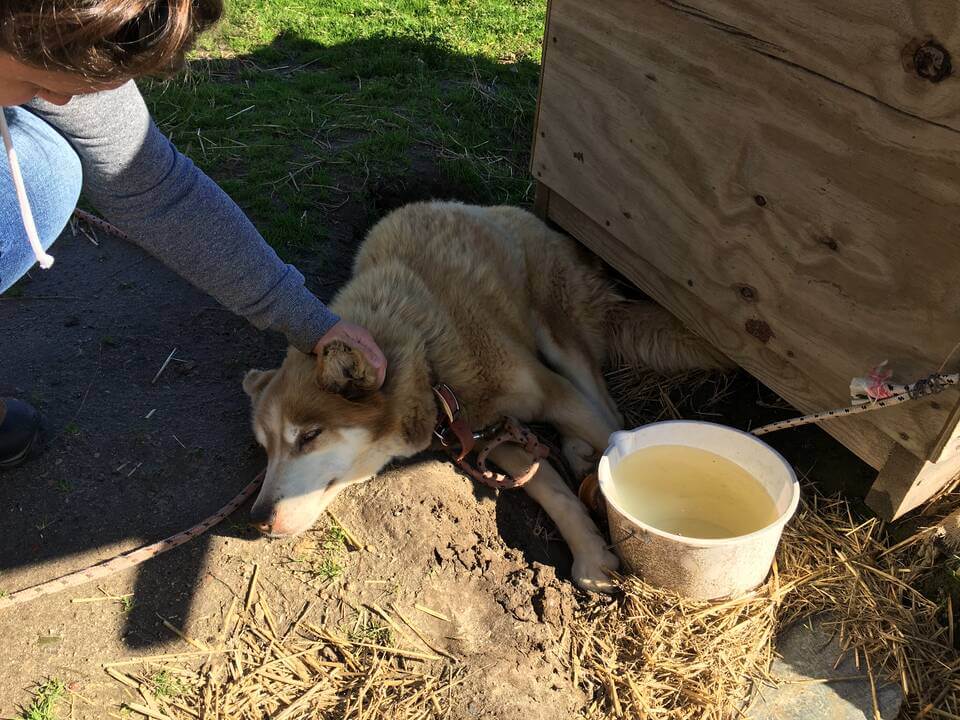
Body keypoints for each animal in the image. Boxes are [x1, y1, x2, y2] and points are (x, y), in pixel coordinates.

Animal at [242, 201, 728, 592]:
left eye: (309, 436)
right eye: (266, 448)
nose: (258, 517)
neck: (428, 357)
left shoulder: (549, 393)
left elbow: (613, 434)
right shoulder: (486, 436)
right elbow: (550, 490)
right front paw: (591, 553)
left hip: (560, 335)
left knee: (605, 403)